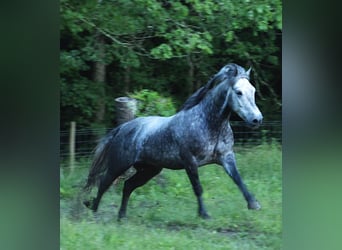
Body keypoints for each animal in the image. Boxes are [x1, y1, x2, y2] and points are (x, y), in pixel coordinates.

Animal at [82, 63, 262, 221]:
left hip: (149, 170)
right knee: (104, 183)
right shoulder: (190, 161)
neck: (208, 123)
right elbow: (198, 188)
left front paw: (253, 204)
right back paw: (94, 212)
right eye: (238, 92)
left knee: (127, 186)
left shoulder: (226, 157)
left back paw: (122, 216)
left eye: (253, 90)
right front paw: (204, 215)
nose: (257, 120)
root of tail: (122, 128)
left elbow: (238, 179)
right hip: (118, 164)